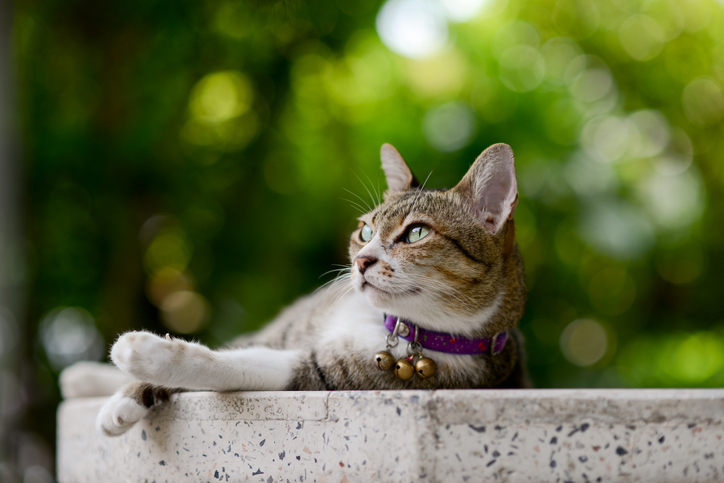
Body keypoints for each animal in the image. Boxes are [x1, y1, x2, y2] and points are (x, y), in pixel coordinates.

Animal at [82, 142, 528, 436]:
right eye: (365, 230)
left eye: (416, 233)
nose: (361, 260)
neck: (389, 325)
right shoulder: (285, 333)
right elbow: (237, 348)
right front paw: (126, 393)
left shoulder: (330, 375)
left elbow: (229, 363)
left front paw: (143, 353)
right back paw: (83, 377)